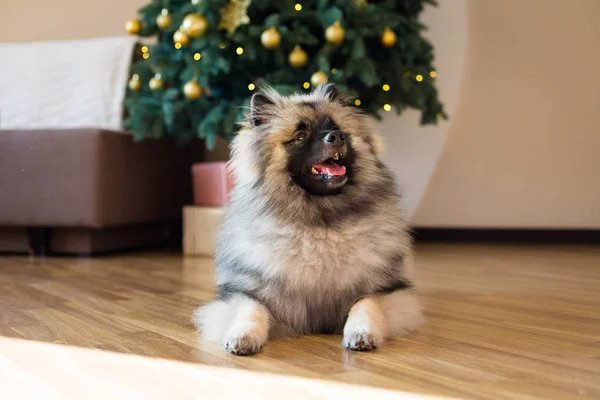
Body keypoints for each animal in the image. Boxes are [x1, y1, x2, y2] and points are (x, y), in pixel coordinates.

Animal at [192, 84, 422, 356]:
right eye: (301, 135)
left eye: (337, 128)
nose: (336, 137)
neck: (319, 223)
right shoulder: (246, 292)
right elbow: (251, 310)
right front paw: (242, 337)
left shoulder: (385, 291)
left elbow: (365, 305)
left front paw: (361, 333)